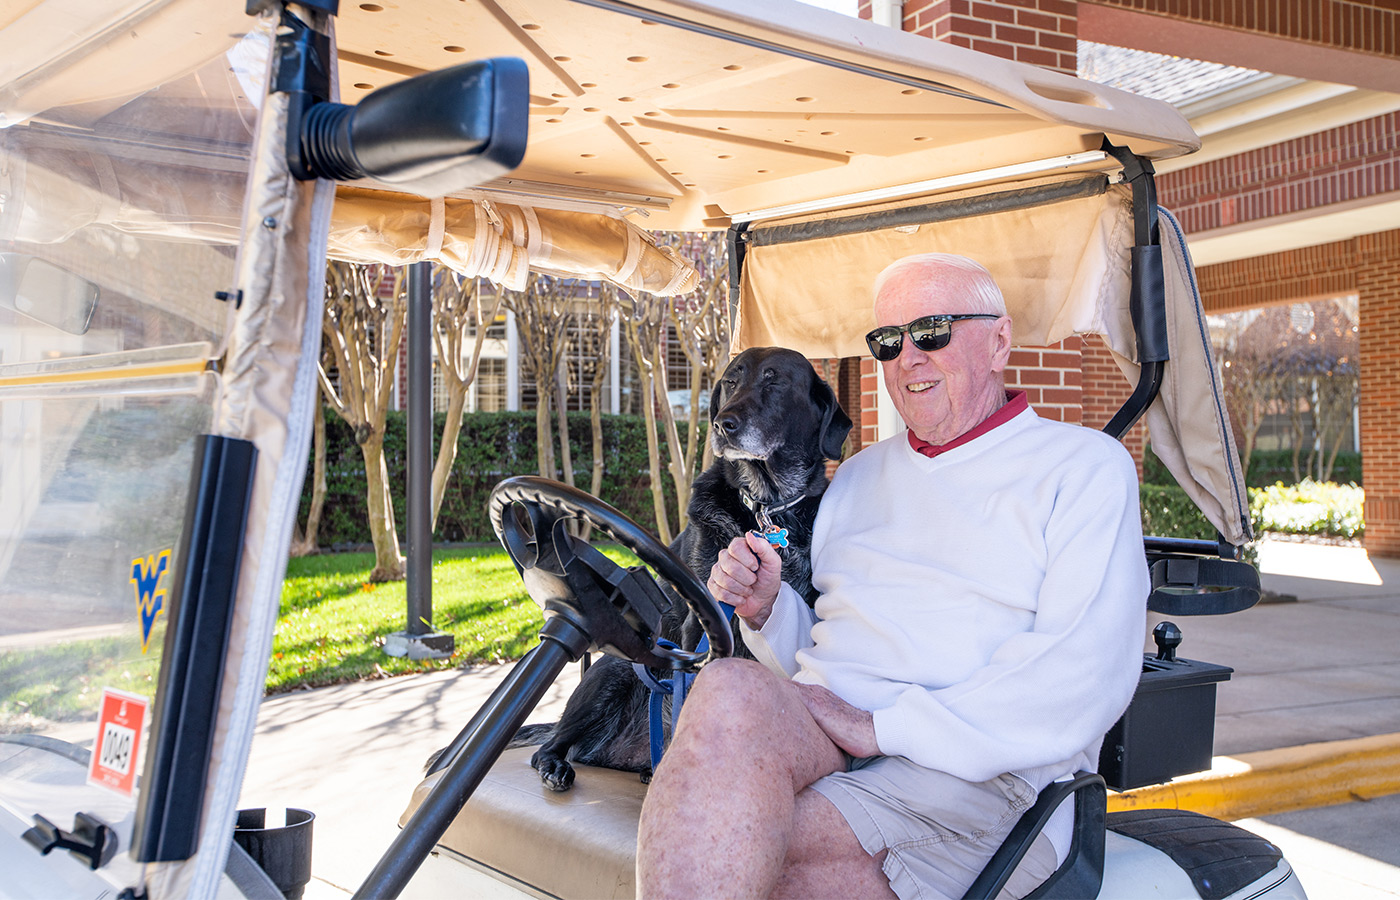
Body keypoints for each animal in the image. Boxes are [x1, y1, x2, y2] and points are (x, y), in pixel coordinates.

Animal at [509, 348, 845, 795]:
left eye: (774, 381)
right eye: (731, 382)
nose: (723, 424)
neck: (765, 507)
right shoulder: (698, 625)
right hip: (615, 670)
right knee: (550, 745)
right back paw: (559, 765)